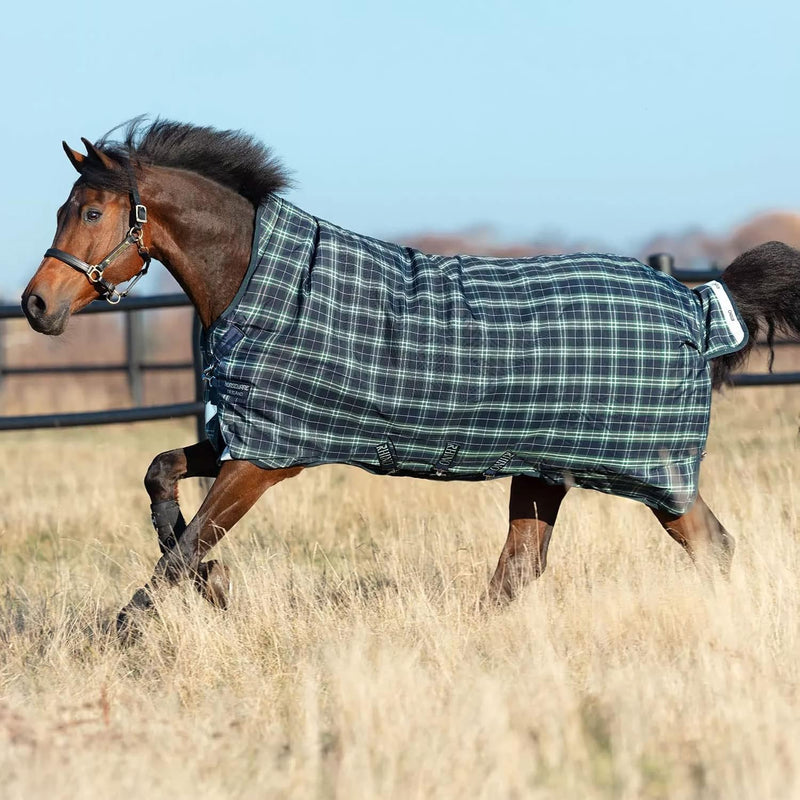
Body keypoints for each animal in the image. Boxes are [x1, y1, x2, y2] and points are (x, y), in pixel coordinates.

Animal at [20, 119, 800, 635]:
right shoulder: (249, 435)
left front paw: (130, 627)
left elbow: (187, 550)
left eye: (92, 211)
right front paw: (214, 588)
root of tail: (697, 304)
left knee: (711, 546)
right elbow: (161, 478)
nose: (37, 306)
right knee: (519, 569)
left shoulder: (266, 460)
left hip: (650, 472)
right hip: (544, 468)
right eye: (62, 209)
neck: (258, 278)